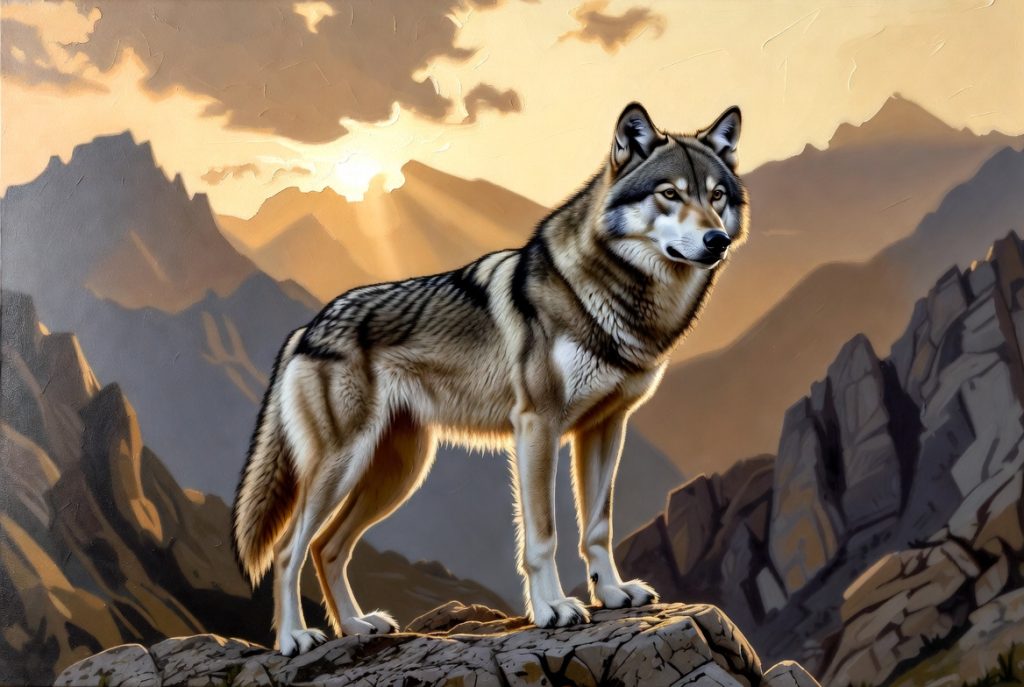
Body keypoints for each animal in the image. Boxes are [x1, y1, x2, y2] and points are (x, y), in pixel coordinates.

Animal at [232, 102, 748, 656]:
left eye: (716, 195)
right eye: (669, 193)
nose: (717, 240)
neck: (614, 296)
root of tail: (306, 328)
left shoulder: (605, 428)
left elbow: (598, 527)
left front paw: (611, 594)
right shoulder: (537, 426)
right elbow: (543, 533)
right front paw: (553, 609)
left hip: (398, 472)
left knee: (327, 547)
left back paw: (355, 626)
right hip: (344, 467)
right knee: (288, 550)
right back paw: (293, 638)